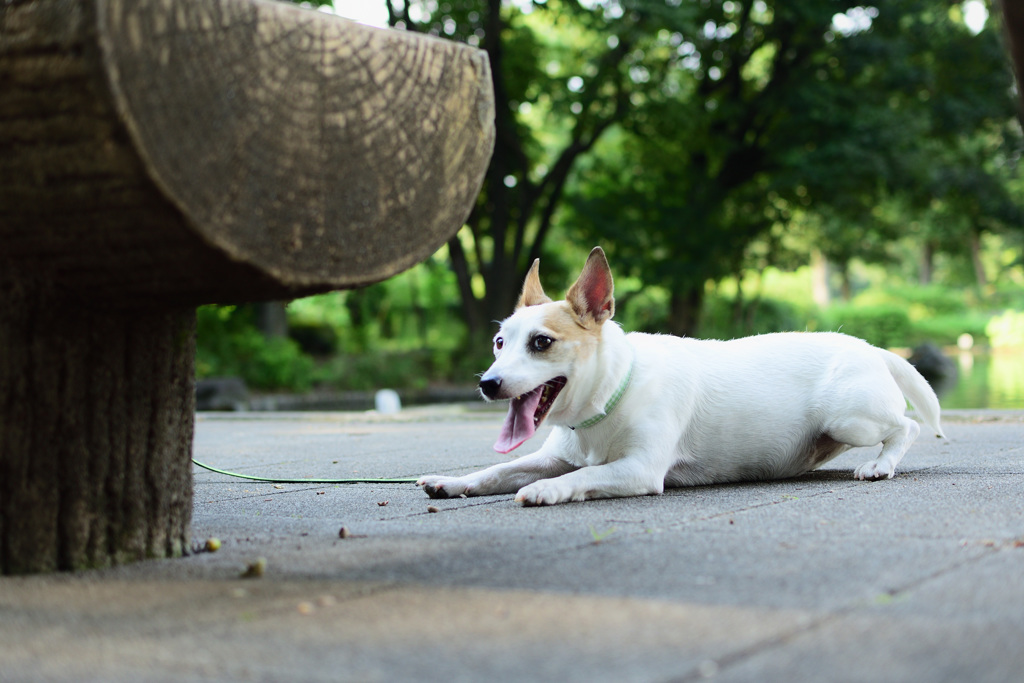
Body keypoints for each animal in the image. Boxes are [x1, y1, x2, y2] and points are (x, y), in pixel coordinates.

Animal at [415, 248, 942, 505]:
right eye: (499, 342)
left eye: (542, 343)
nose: (488, 383)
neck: (610, 395)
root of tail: (871, 347)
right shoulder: (550, 457)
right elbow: (498, 471)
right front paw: (453, 482)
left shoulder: (639, 469)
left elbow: (585, 474)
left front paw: (547, 490)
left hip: (849, 418)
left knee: (907, 427)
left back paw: (880, 464)